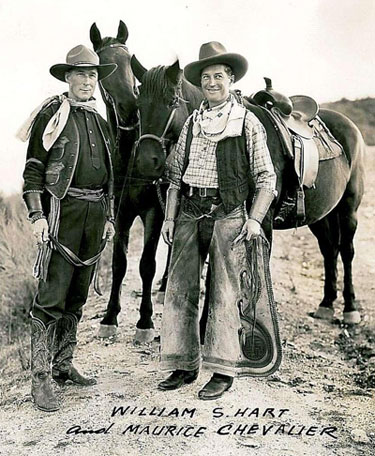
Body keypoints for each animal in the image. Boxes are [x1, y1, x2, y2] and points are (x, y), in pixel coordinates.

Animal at [131, 57, 366, 326]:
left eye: (172, 102)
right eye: (138, 105)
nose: (146, 161)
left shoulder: (260, 221)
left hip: (348, 209)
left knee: (346, 251)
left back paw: (350, 308)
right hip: (321, 215)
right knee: (329, 249)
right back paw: (326, 303)